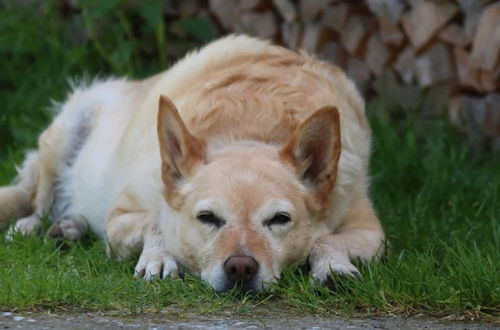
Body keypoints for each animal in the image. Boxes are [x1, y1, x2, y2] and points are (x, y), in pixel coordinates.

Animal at [0, 35, 382, 294]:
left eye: (279, 220)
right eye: (208, 218)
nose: (241, 267)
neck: (248, 129)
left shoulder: (372, 232)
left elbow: (326, 239)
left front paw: (332, 267)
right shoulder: (119, 216)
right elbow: (154, 222)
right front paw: (159, 258)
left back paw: (69, 229)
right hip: (63, 137)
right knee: (38, 201)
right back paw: (35, 227)